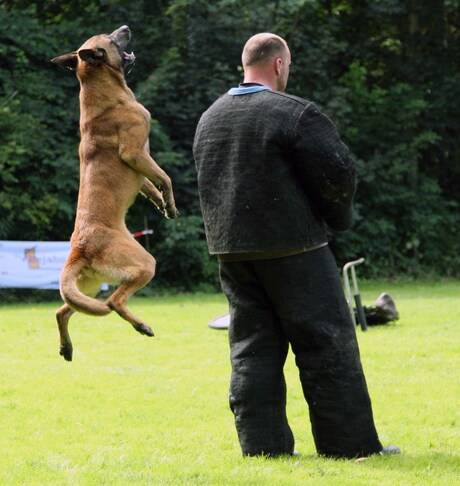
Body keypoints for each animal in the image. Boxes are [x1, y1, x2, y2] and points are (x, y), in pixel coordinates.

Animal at [51, 26, 178, 360]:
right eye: (109, 37)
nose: (125, 28)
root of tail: (79, 248)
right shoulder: (136, 154)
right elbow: (166, 177)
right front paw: (171, 204)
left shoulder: (140, 168)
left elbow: (151, 184)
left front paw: (161, 203)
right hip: (142, 265)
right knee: (113, 302)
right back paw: (142, 326)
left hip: (88, 285)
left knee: (62, 310)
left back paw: (66, 347)